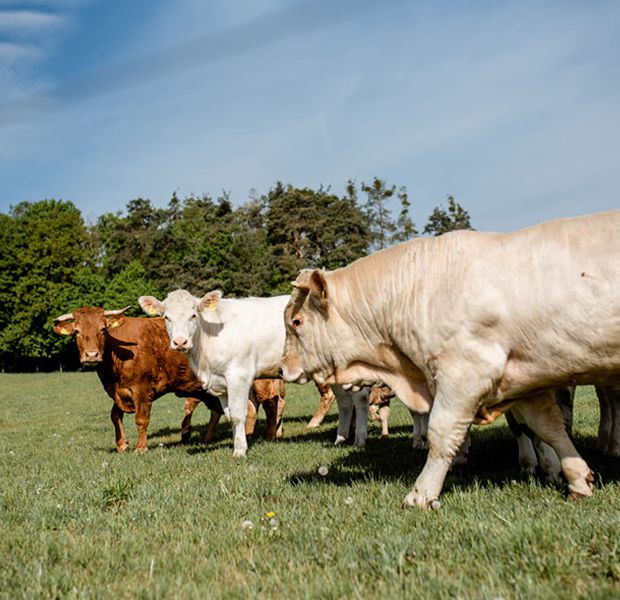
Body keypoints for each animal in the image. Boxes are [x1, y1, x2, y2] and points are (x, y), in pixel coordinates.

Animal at [54, 308, 286, 452]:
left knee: (270, 403)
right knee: (243, 408)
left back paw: (267, 436)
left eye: (103, 329)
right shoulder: (120, 391)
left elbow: (141, 419)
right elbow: (114, 415)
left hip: (260, 381)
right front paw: (121, 444)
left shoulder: (142, 389)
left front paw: (141, 447)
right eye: (77, 331)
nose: (91, 355)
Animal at [139, 292, 290, 458]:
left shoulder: (239, 377)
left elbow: (238, 414)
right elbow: (230, 416)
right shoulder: (221, 383)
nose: (180, 342)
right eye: (166, 317)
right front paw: (239, 444)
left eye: (193, 315)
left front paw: (239, 450)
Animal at [280, 210, 620, 506]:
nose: (283, 368)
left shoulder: (466, 373)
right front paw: (578, 479)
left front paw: (421, 494)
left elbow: (441, 433)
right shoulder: (525, 382)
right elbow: (548, 427)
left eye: (296, 322)